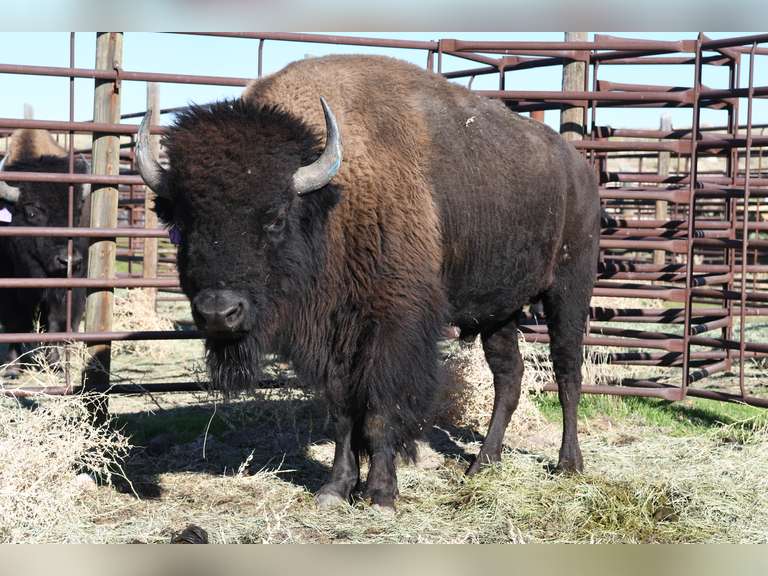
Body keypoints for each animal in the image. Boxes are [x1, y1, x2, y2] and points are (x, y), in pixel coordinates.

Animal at [0, 125, 90, 374]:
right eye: (32, 212)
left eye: (78, 212)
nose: (68, 261)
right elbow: (14, 322)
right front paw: (12, 367)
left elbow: (58, 320)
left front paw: (56, 363)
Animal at [134, 54, 601, 511]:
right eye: (182, 223)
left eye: (276, 218)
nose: (219, 312)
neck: (331, 202)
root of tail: (579, 168)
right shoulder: (335, 337)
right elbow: (343, 412)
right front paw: (335, 489)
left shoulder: (391, 326)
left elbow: (378, 410)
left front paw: (380, 494)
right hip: (498, 312)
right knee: (509, 376)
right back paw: (482, 464)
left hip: (568, 291)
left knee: (567, 372)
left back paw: (568, 464)